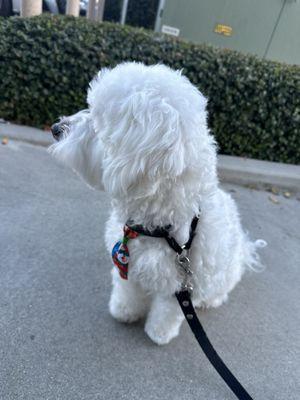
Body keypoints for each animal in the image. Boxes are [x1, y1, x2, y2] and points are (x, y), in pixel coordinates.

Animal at [48, 62, 264, 344]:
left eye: (98, 120)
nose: (55, 127)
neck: (160, 228)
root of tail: (243, 251)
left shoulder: (182, 283)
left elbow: (169, 311)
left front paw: (159, 333)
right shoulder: (127, 265)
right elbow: (127, 289)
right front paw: (123, 311)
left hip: (219, 275)